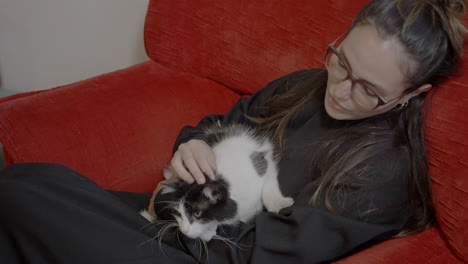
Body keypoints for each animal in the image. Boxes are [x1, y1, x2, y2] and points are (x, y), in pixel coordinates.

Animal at [139, 121, 292, 241]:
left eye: (197, 213)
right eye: (178, 213)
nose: (183, 231)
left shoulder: (264, 162)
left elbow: (269, 183)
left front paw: (278, 205)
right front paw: (207, 232)